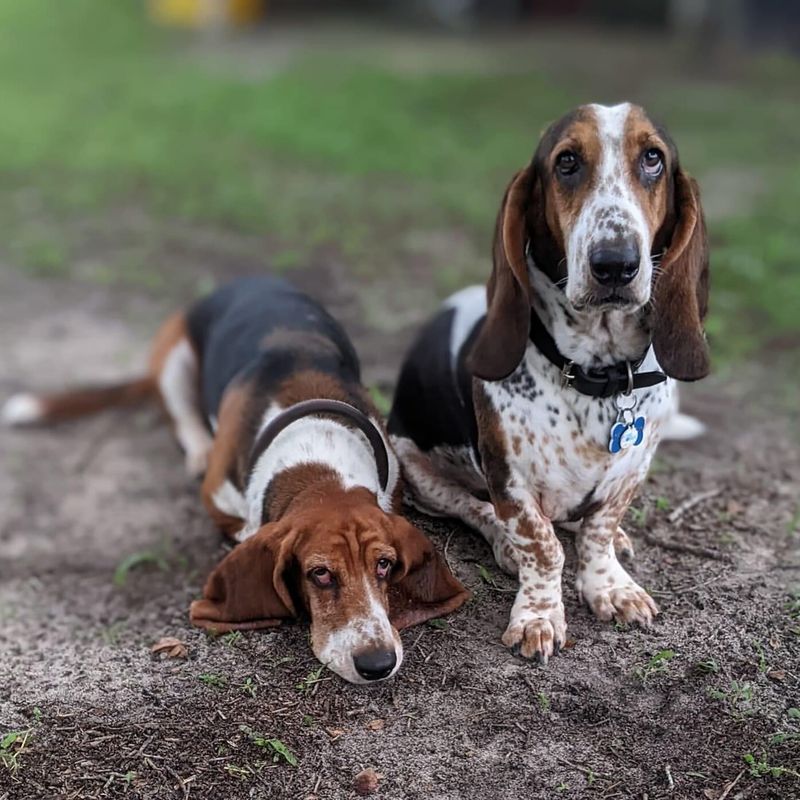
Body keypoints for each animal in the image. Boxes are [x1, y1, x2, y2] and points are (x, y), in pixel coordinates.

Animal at [3, 278, 468, 684]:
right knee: (179, 414)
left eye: (385, 565)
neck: (318, 459)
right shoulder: (220, 502)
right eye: (319, 574)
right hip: (173, 359)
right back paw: (197, 447)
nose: (378, 664)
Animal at [388, 101, 708, 664]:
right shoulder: (511, 480)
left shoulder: (633, 470)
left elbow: (599, 530)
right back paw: (502, 544)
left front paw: (610, 586)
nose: (615, 264)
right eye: (567, 162)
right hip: (413, 463)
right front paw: (538, 615)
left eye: (653, 158)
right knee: (473, 508)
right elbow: (542, 545)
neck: (597, 377)